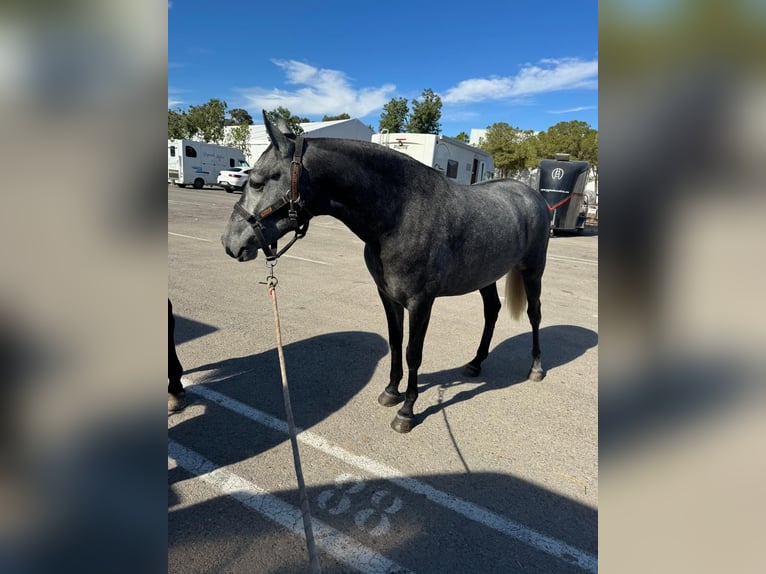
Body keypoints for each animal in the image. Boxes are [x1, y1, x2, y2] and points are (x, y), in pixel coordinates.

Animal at [222, 112, 551, 433]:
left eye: (257, 182)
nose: (229, 243)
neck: (400, 216)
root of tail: (532, 195)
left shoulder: (421, 302)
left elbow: (412, 352)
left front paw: (407, 411)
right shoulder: (388, 296)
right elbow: (394, 343)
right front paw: (391, 392)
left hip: (533, 271)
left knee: (534, 313)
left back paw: (536, 367)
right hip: (487, 275)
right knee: (492, 311)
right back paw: (475, 363)